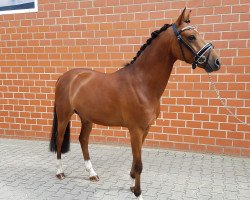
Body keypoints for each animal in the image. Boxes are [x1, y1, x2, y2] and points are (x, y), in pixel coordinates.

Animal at [49, 8, 221, 200]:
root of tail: (65, 77)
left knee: (83, 140)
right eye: (191, 37)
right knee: (59, 139)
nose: (216, 62)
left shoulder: (145, 129)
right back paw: (60, 172)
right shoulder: (136, 130)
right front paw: (138, 193)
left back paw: (92, 173)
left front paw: (132, 184)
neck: (141, 83)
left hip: (87, 118)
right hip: (64, 116)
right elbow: (139, 163)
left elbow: (135, 160)